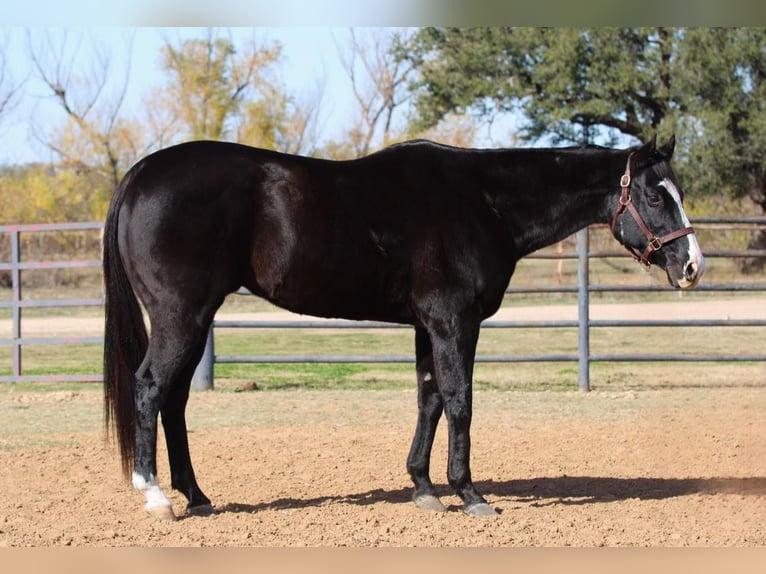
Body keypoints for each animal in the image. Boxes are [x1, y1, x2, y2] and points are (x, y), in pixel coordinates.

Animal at [103, 135, 708, 520]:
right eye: (654, 195)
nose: (692, 267)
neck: (482, 201)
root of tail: (140, 174)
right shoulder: (454, 322)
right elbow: (460, 400)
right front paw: (469, 494)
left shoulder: (427, 324)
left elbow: (429, 397)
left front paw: (423, 488)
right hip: (180, 316)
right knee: (150, 388)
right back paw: (156, 497)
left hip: (194, 319)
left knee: (174, 400)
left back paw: (197, 497)